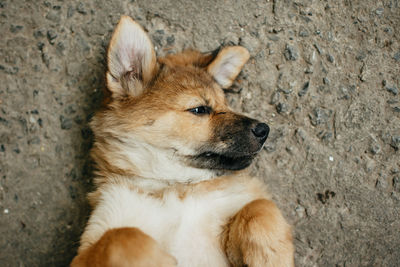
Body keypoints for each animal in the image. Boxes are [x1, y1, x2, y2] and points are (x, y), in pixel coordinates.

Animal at [70, 15, 292, 266]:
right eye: (200, 109)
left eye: (226, 106)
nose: (264, 130)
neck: (175, 187)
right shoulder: (89, 243)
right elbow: (120, 236)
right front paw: (158, 257)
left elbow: (260, 206)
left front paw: (273, 256)